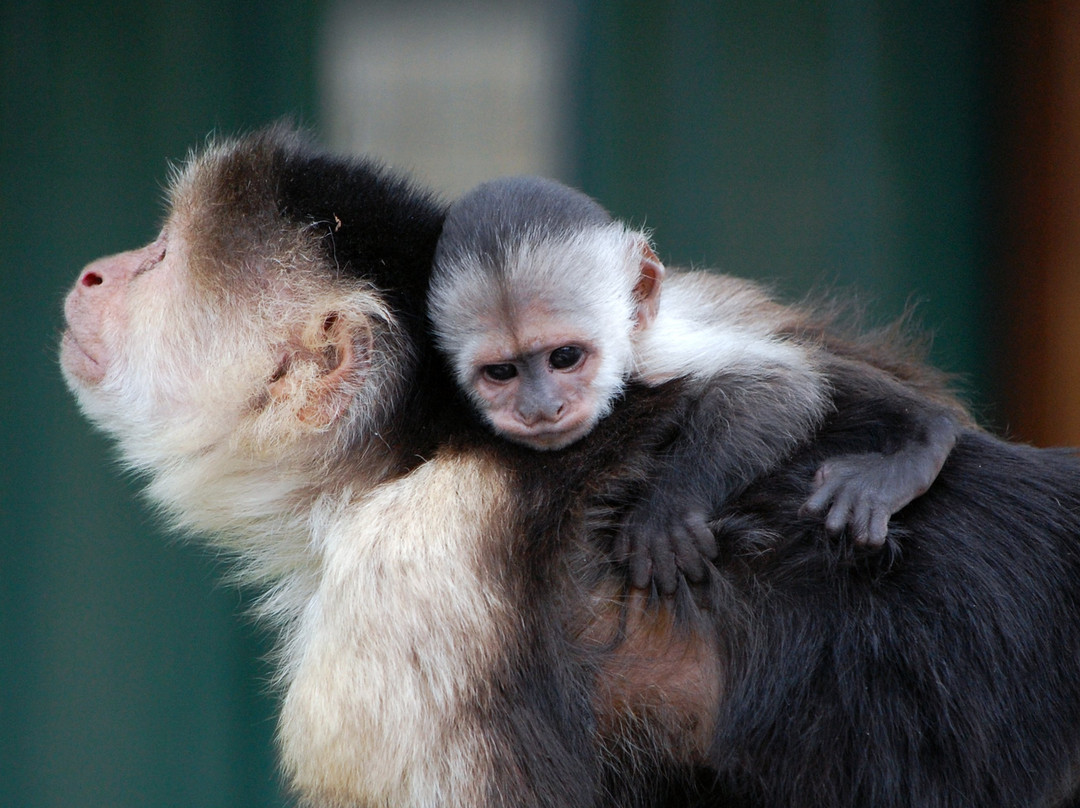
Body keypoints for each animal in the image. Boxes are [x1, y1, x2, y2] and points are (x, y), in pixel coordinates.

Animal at [427, 178, 963, 591]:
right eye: (501, 373)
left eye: (565, 358)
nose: (540, 409)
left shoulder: (652, 353)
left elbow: (782, 383)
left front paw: (669, 508)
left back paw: (924, 436)